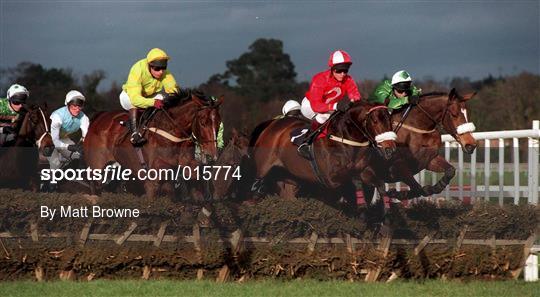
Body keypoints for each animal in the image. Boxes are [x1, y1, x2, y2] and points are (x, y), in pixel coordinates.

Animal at [83, 89, 223, 200]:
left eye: (218, 123)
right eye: (203, 122)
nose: (212, 155)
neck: (171, 132)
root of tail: (99, 116)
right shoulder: (154, 178)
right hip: (97, 167)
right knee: (95, 186)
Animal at [249, 99, 396, 206]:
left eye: (390, 121)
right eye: (375, 121)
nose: (390, 149)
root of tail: (272, 124)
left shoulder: (364, 170)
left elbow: (380, 184)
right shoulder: (330, 179)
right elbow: (354, 180)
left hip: (290, 179)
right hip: (263, 169)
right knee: (256, 190)